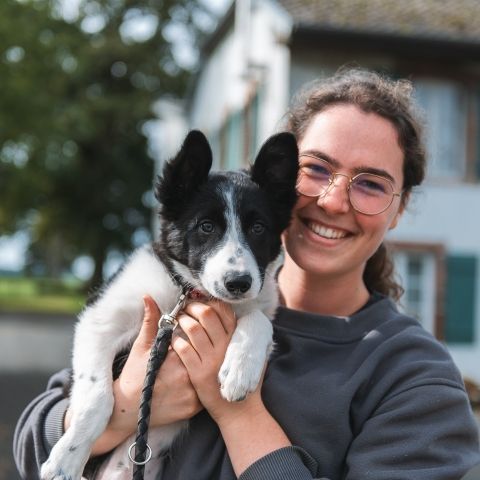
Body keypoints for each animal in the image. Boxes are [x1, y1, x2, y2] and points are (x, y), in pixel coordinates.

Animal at [41, 129, 298, 480]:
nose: (238, 283)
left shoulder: (259, 300)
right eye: (206, 226)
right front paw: (66, 460)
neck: (187, 291)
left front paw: (240, 370)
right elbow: (97, 397)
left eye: (258, 228)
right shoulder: (100, 320)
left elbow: (260, 319)